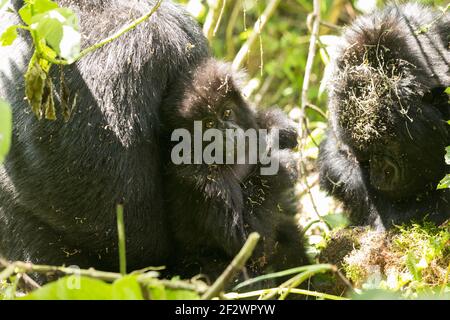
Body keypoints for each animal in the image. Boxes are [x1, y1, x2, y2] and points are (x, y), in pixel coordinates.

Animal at [160, 58, 308, 282]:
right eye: (209, 123)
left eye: (227, 112)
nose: (227, 132)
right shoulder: (202, 181)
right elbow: (244, 239)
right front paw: (280, 165)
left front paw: (278, 128)